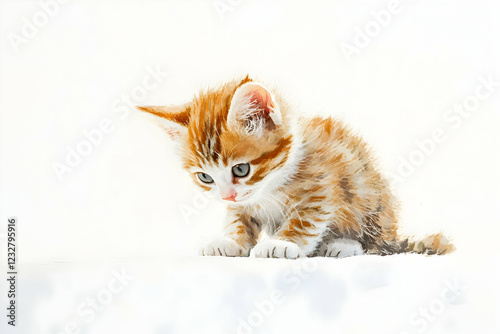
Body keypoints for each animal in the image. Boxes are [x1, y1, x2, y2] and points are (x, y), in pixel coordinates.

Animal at [137, 75, 454, 258]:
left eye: (240, 170)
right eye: (205, 177)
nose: (227, 195)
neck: (270, 185)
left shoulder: (322, 187)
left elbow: (305, 221)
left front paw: (283, 244)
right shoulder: (242, 204)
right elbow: (237, 218)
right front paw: (230, 242)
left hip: (369, 197)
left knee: (375, 243)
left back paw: (344, 245)